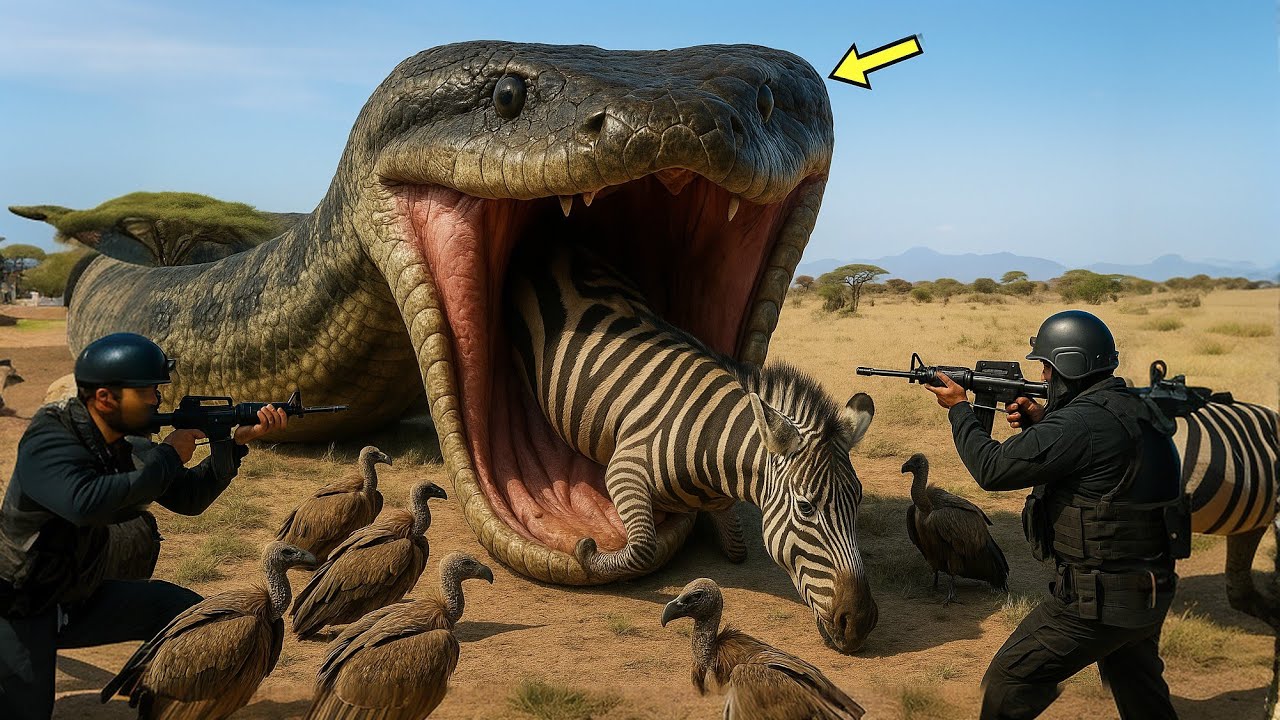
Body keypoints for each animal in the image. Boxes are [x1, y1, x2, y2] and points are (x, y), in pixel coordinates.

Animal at [504, 241, 879, 653]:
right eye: (806, 507)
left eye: (859, 500)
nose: (860, 623)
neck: (712, 440)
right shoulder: (624, 468)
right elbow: (643, 549)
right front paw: (589, 554)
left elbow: (737, 548)